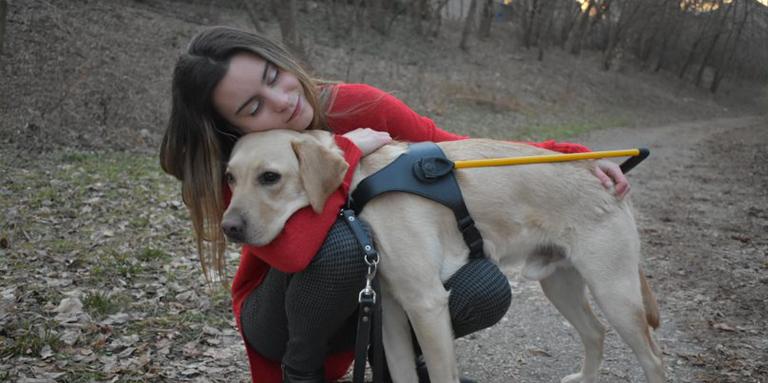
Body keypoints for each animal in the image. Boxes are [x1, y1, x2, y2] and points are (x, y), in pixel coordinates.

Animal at [224, 130, 664, 383]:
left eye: (270, 177)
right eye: (229, 177)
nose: (229, 228)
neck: (361, 175)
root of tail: (601, 175)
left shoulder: (426, 303)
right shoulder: (391, 308)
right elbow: (402, 373)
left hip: (616, 293)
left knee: (653, 359)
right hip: (560, 284)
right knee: (595, 333)